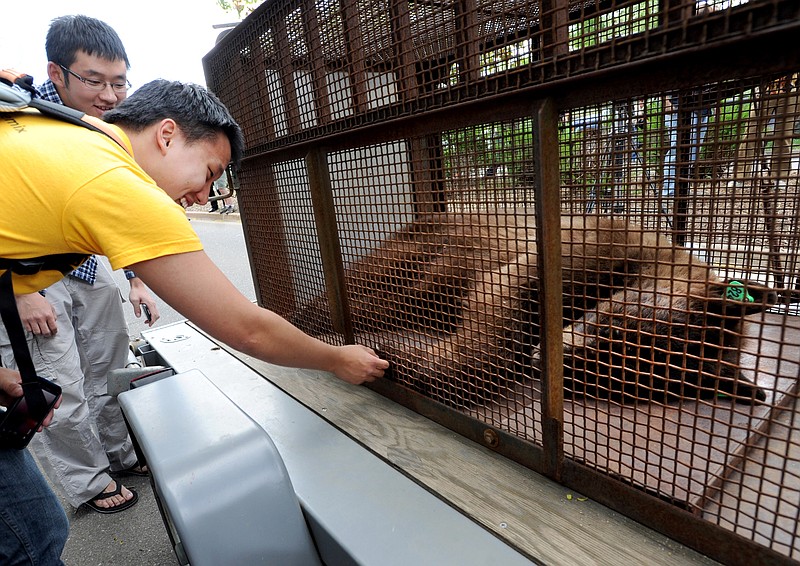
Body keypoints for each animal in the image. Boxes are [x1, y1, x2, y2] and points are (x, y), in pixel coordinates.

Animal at [292, 211, 776, 410]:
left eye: (606, 380)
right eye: (617, 326)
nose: (549, 361)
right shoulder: (563, 253)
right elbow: (499, 322)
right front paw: (412, 365)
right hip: (422, 254)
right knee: (373, 294)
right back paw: (311, 316)